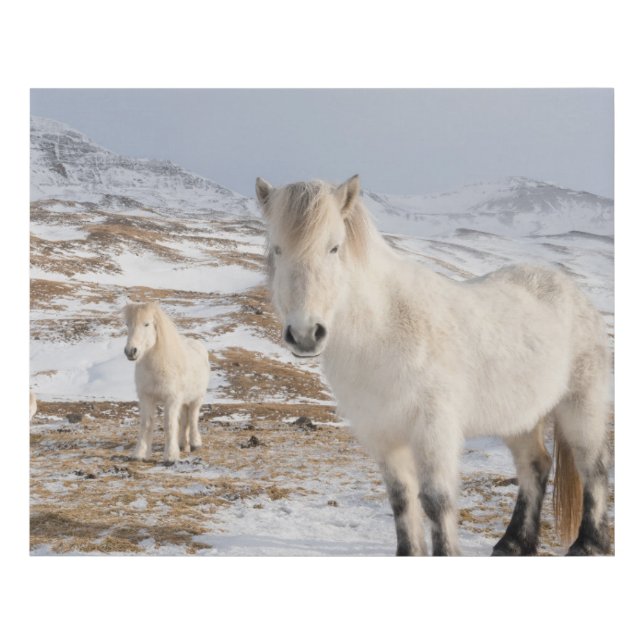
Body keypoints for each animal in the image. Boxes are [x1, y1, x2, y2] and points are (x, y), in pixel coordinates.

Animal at [123, 302, 211, 464]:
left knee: (193, 418)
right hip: (183, 401)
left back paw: (195, 443)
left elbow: (169, 424)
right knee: (184, 420)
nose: (130, 351)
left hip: (197, 398)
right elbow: (146, 424)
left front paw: (170, 456)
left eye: (147, 324)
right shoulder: (147, 398)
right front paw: (140, 454)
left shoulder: (172, 399)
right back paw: (183, 444)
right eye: (127, 324)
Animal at [256, 174, 612, 556]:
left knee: (594, 466)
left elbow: (436, 501)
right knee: (535, 466)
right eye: (277, 249)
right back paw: (514, 543)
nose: (305, 334)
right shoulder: (383, 434)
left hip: (581, 405)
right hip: (520, 417)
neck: (383, 329)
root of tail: (571, 290)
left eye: (334, 248)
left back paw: (590, 544)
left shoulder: (433, 429)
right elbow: (401, 499)